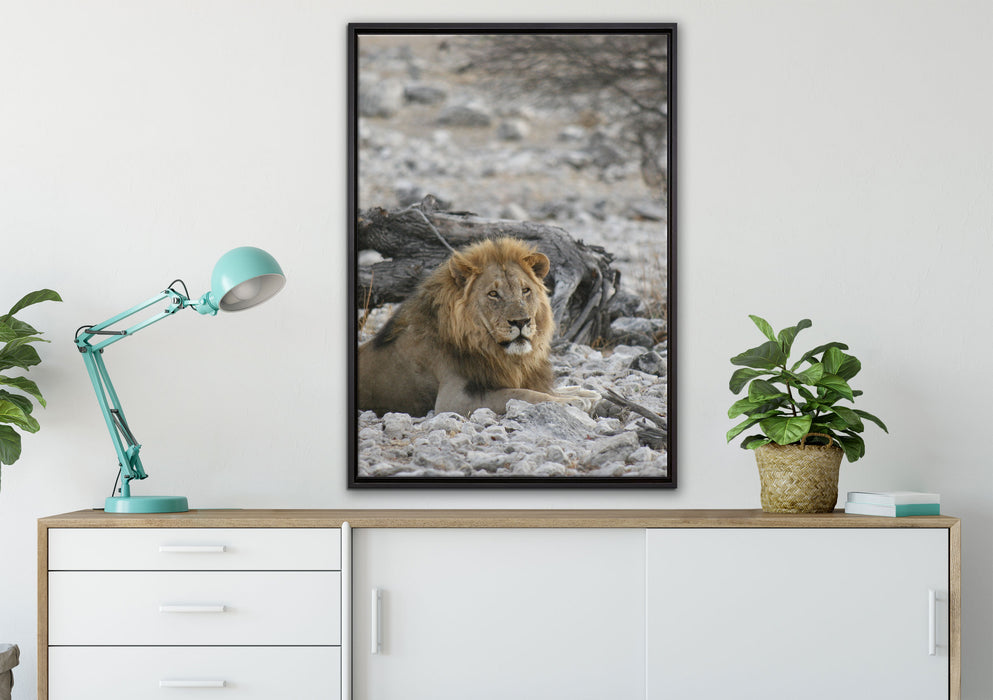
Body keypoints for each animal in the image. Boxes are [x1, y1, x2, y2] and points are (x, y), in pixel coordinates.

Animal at [358, 237, 599, 417]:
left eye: (525, 290)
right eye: (493, 294)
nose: (521, 321)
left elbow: (533, 388)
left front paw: (584, 393)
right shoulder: (452, 400)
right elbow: (521, 393)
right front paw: (573, 401)